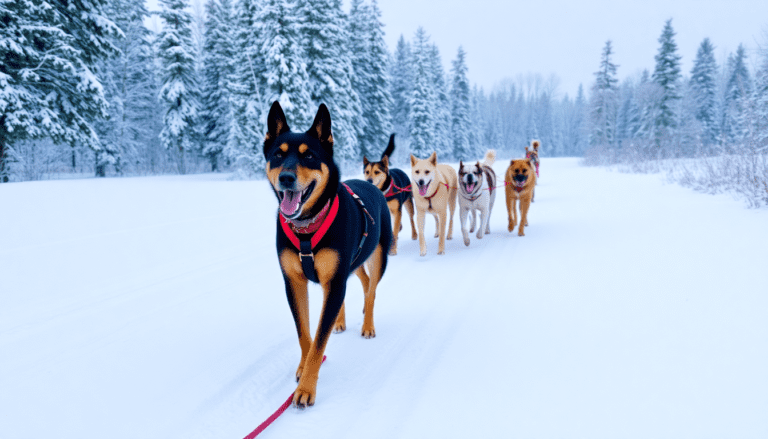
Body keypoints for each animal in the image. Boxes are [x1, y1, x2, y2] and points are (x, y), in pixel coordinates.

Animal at [266, 100, 396, 410]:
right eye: (278, 155)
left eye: (309, 156)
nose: (286, 178)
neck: (306, 227)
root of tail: (371, 183)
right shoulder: (294, 282)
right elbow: (306, 335)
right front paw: (303, 368)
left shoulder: (335, 278)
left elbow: (318, 343)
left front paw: (306, 389)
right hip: (348, 263)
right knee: (359, 283)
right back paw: (340, 319)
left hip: (378, 255)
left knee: (371, 290)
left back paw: (367, 323)